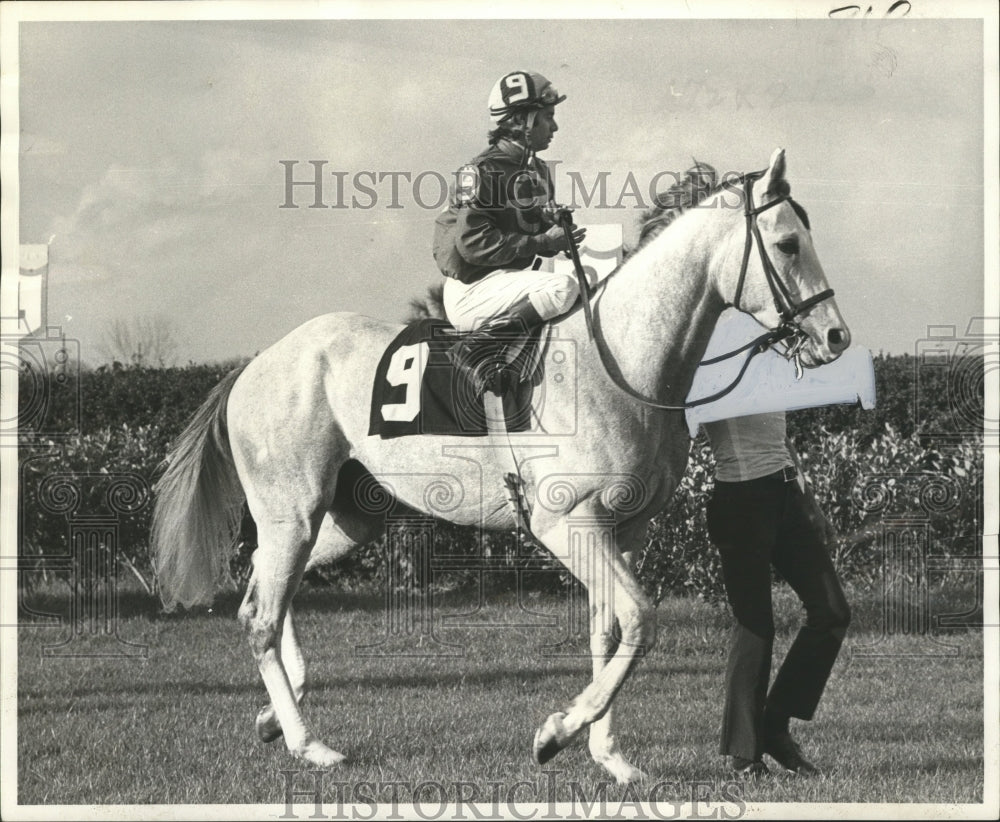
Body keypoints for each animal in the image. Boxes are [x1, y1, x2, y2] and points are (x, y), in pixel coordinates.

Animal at [154, 150, 852, 784]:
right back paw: (309, 743)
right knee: (262, 615)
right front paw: (556, 733)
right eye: (788, 243)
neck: (619, 363)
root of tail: (258, 361)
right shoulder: (567, 524)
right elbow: (639, 620)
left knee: (261, 589)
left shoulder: (626, 528)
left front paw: (609, 756)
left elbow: (611, 634)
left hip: (344, 519)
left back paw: (277, 713)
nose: (835, 337)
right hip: (293, 512)